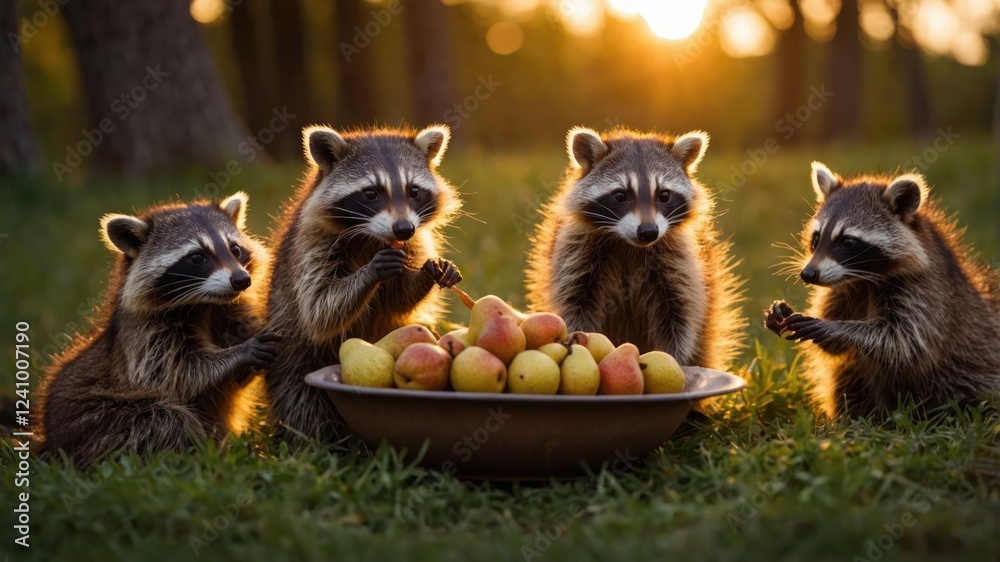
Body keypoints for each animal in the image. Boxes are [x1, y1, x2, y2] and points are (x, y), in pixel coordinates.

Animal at [38, 193, 280, 467]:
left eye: (235, 249)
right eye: (197, 257)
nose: (241, 280)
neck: (207, 304)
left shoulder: (231, 313)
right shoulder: (145, 335)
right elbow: (179, 373)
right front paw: (240, 353)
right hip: (96, 420)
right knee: (166, 421)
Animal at [265, 125, 462, 441]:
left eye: (413, 191)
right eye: (370, 193)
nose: (403, 229)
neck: (373, 237)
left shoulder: (415, 241)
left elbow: (399, 301)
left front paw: (429, 272)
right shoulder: (311, 244)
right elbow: (319, 309)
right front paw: (371, 272)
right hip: (292, 353)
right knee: (300, 398)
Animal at [525, 127, 743, 369]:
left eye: (664, 195)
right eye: (621, 195)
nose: (648, 232)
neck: (628, 245)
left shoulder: (680, 259)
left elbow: (681, 314)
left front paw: (677, 358)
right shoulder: (574, 251)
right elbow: (574, 303)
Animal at [766, 162, 1000, 417]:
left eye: (847, 242)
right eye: (816, 238)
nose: (808, 274)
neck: (864, 279)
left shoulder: (926, 292)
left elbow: (904, 343)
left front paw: (835, 328)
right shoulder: (843, 289)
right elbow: (836, 350)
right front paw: (783, 312)